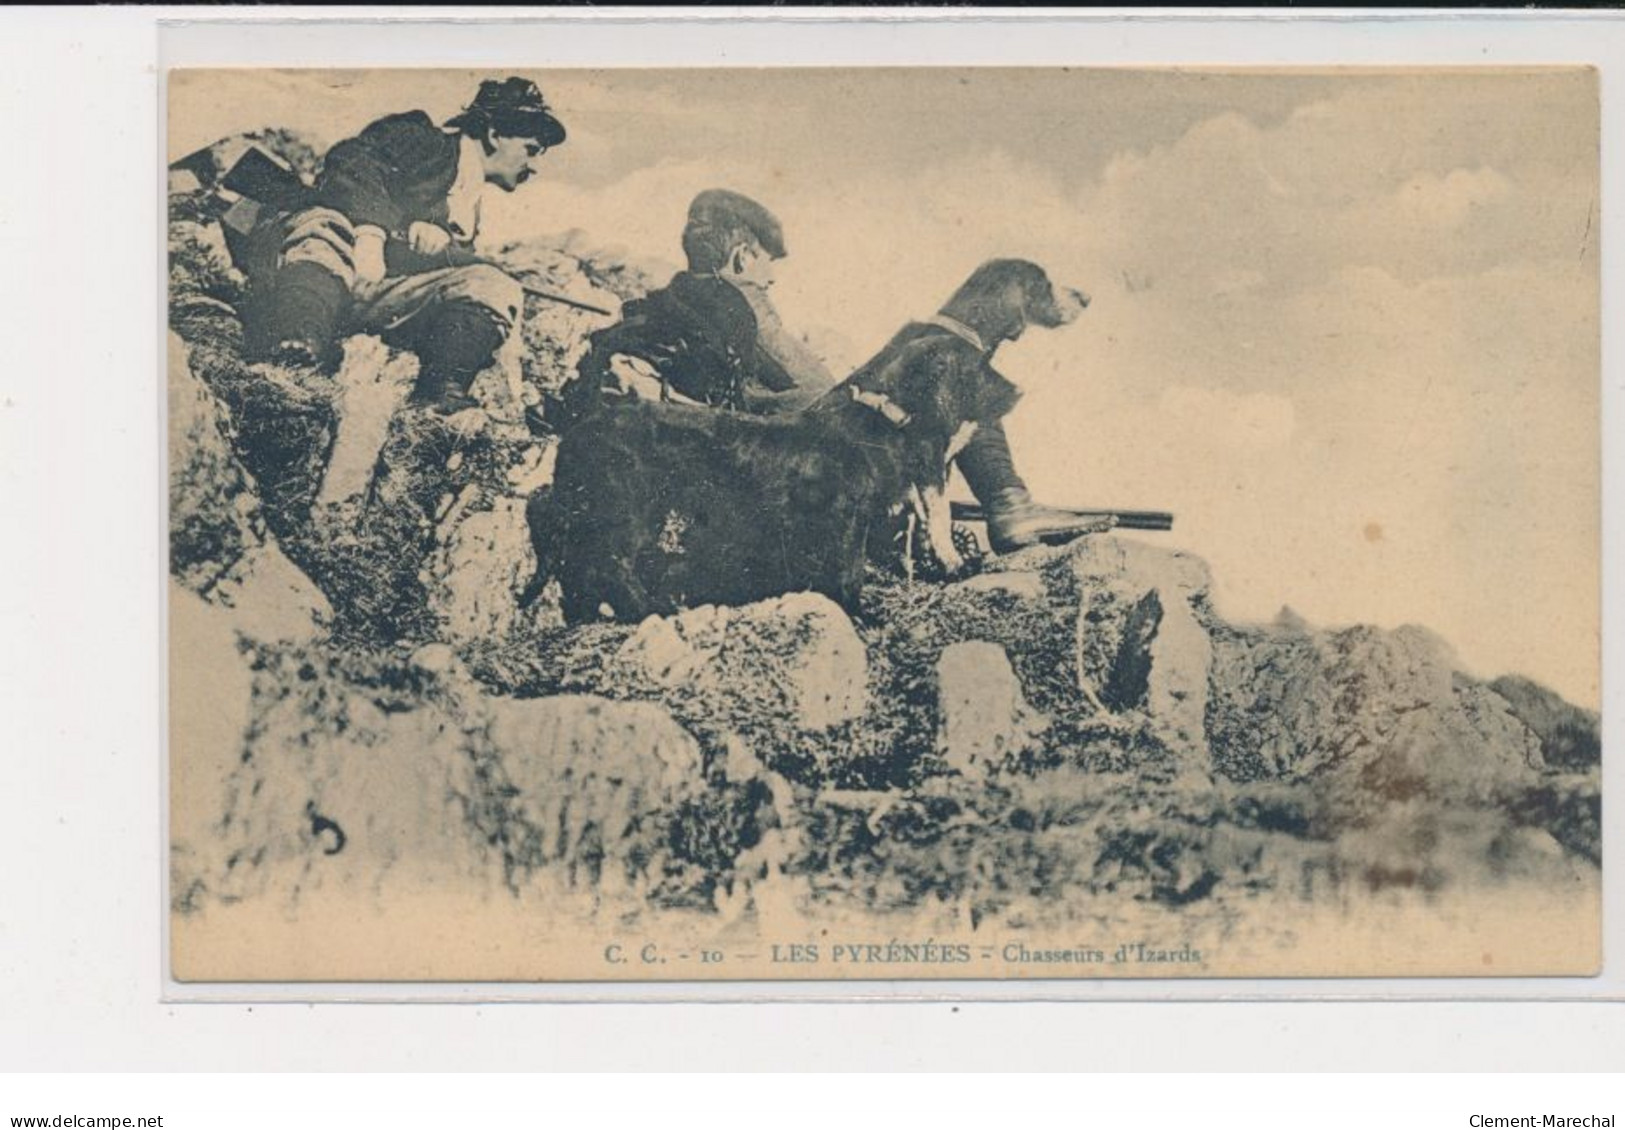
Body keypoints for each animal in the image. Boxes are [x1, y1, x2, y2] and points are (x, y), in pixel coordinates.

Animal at [526, 260, 1085, 624]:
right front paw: (876, 606)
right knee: (609, 566)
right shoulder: (864, 510)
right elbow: (873, 558)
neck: (878, 420)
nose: (1018, 393)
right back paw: (648, 611)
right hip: (626, 515)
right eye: (979, 372)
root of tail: (593, 413)